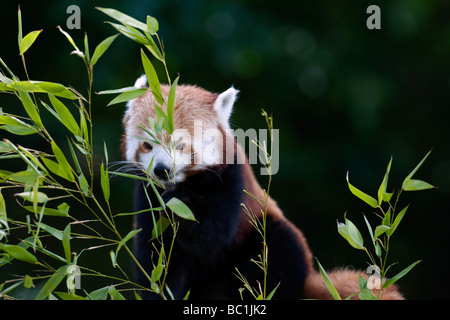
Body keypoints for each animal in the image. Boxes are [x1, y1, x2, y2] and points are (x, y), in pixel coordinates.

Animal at [119, 75, 404, 300]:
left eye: (180, 145)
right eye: (147, 145)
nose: (162, 170)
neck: (188, 181)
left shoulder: (232, 182)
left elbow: (211, 233)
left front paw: (180, 201)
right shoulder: (145, 197)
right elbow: (157, 261)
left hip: (266, 239)